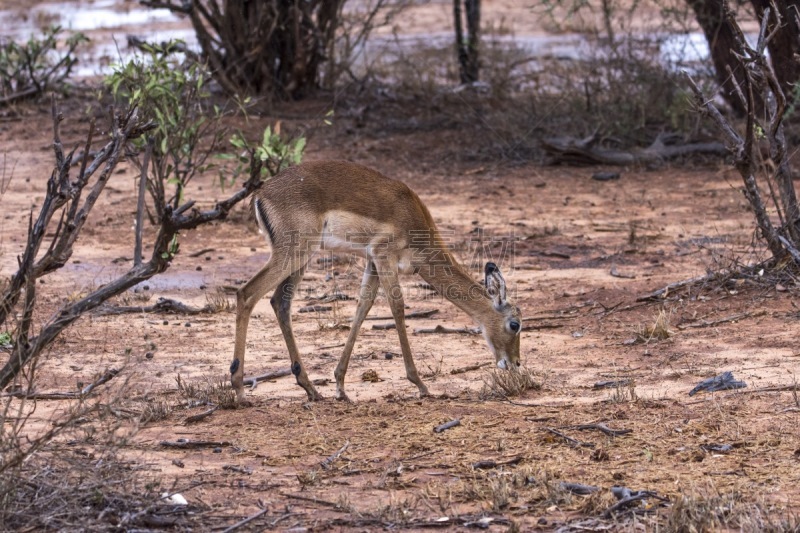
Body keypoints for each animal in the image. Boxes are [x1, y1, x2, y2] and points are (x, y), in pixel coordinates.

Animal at [228, 160, 520, 402]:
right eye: (515, 324)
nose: (514, 363)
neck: (414, 220)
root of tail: (261, 194)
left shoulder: (372, 263)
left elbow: (362, 309)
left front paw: (340, 386)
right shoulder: (384, 256)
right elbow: (398, 308)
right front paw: (421, 385)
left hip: (302, 258)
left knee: (280, 302)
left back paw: (311, 389)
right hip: (295, 252)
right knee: (247, 293)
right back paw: (240, 390)